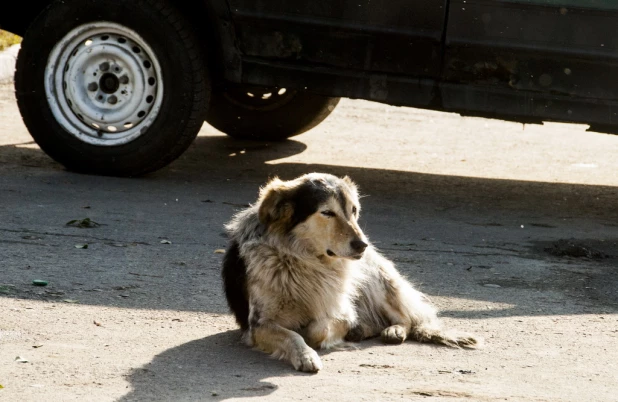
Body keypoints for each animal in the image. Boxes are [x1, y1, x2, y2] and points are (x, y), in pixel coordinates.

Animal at [221, 171, 476, 372]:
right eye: (327, 213)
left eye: (353, 211)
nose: (362, 245)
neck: (302, 260)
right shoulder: (258, 325)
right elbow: (292, 335)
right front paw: (305, 355)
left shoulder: (343, 312)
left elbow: (317, 328)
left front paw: (327, 336)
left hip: (378, 281)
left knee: (407, 319)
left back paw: (392, 330)